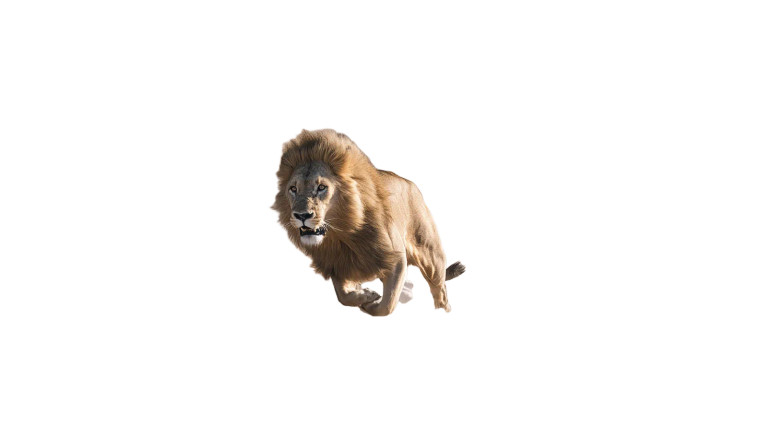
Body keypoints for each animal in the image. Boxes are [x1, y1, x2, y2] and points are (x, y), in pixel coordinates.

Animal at [272, 129, 465, 316]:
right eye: (293, 189)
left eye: (321, 187)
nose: (302, 215)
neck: (343, 234)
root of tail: (411, 185)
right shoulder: (338, 261)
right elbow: (343, 296)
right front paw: (365, 295)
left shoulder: (396, 259)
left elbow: (386, 305)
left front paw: (370, 303)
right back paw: (407, 291)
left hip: (430, 255)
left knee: (440, 291)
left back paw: (441, 309)